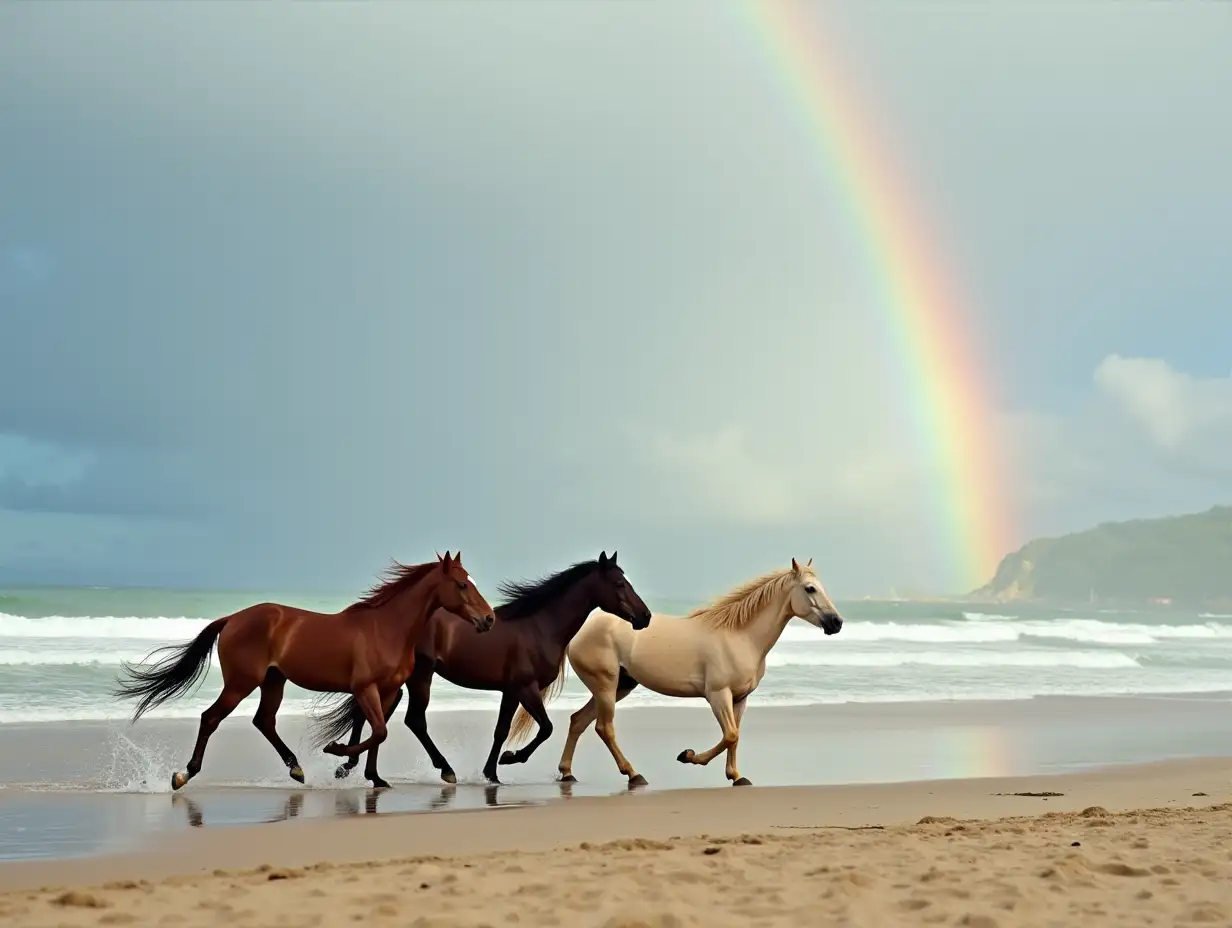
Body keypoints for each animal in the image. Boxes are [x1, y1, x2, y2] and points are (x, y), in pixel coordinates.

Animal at [112, 549, 495, 788]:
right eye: (462, 584)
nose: (489, 619)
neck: (387, 628)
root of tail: (232, 618)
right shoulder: (365, 689)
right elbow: (378, 731)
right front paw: (336, 754)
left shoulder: (387, 691)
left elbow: (379, 734)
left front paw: (373, 777)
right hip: (242, 681)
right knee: (211, 718)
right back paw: (183, 776)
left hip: (273, 681)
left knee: (263, 721)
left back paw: (296, 769)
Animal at [308, 549, 655, 783]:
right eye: (619, 583)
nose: (645, 616)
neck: (539, 626)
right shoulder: (525, 687)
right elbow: (546, 728)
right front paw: (511, 759)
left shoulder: (511, 690)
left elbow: (501, 730)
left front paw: (492, 772)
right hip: (421, 676)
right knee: (413, 720)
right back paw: (444, 770)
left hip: (399, 681)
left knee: (372, 715)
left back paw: (351, 768)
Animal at [500, 561, 837, 783]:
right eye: (809, 589)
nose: (836, 623)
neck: (739, 636)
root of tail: (579, 632)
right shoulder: (718, 695)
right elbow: (729, 735)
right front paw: (688, 756)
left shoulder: (740, 699)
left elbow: (735, 737)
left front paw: (736, 775)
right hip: (606, 686)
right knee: (603, 728)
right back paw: (633, 774)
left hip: (619, 687)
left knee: (578, 721)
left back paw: (567, 772)